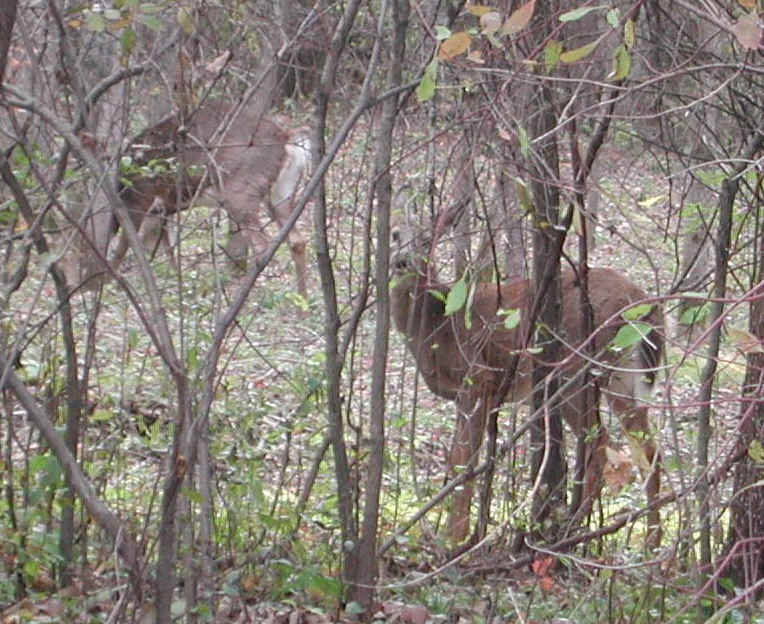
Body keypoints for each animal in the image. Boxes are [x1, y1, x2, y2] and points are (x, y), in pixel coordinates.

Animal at [105, 101, 311, 296]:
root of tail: (285, 137)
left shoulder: (139, 201)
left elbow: (125, 247)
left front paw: (106, 283)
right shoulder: (161, 209)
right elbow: (164, 246)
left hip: (241, 192)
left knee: (262, 246)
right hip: (281, 192)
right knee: (297, 241)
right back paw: (302, 302)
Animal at [389, 204, 664, 546]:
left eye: (428, 239)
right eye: (395, 234)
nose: (401, 260)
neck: (436, 324)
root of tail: (641, 303)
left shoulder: (478, 378)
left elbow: (463, 460)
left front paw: (455, 539)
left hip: (575, 366)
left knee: (600, 440)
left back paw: (573, 527)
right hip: (623, 376)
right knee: (648, 449)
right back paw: (651, 542)